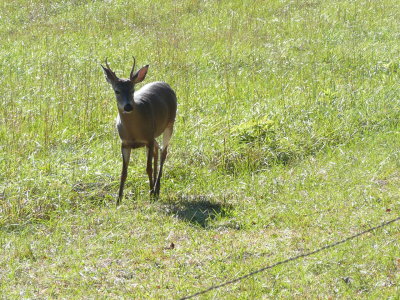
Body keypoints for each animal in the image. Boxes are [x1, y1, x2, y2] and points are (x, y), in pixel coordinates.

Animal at [102, 57, 177, 205]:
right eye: (117, 91)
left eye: (132, 90)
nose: (128, 107)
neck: (134, 132)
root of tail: (165, 84)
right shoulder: (125, 143)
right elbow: (123, 172)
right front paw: (118, 200)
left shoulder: (148, 139)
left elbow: (148, 168)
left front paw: (150, 195)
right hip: (154, 135)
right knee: (157, 149)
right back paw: (156, 190)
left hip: (170, 123)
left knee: (163, 152)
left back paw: (155, 189)